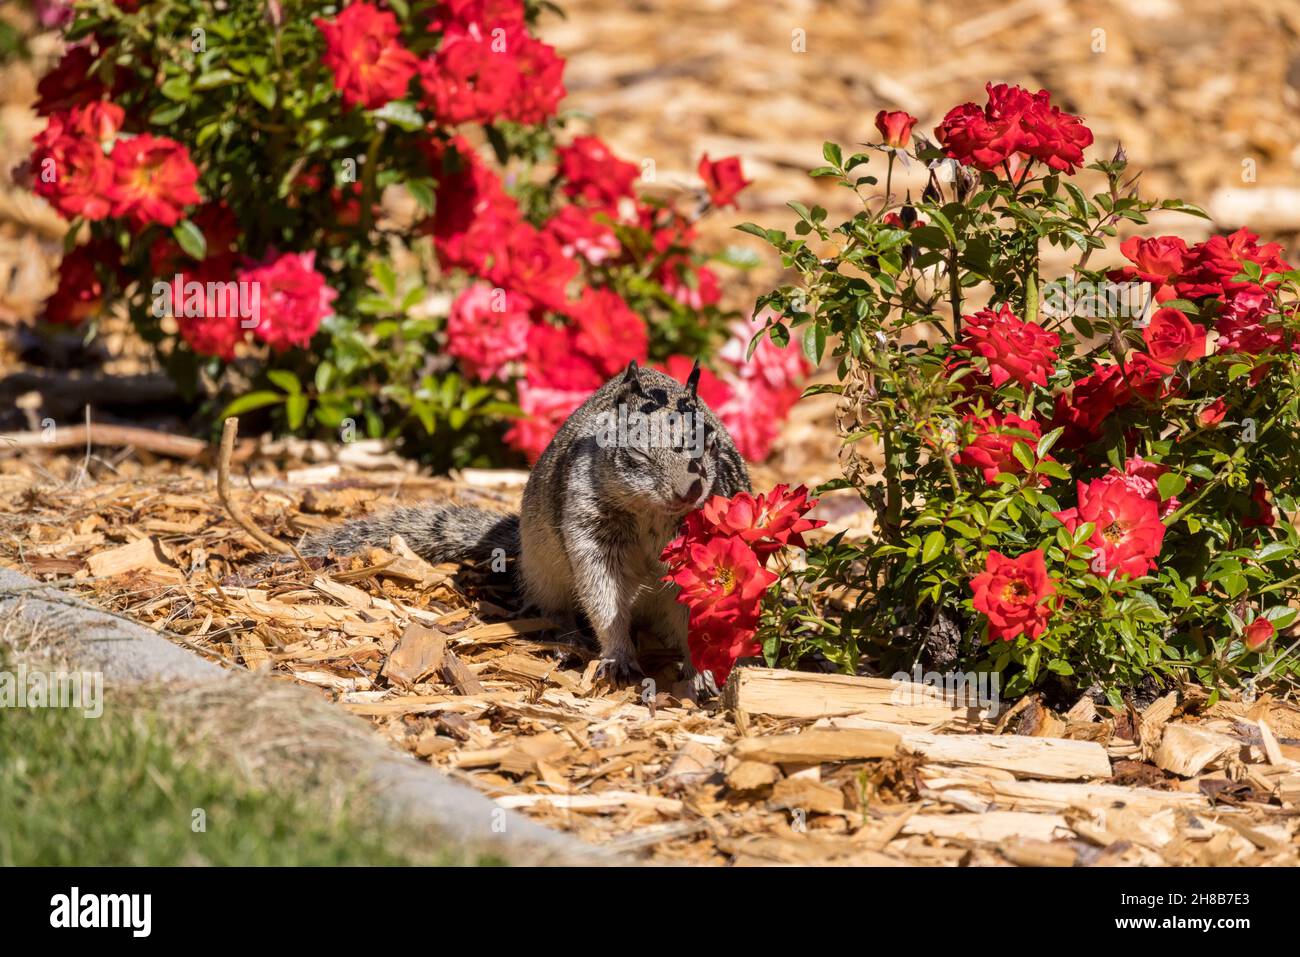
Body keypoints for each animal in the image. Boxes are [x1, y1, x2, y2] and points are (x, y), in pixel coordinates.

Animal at [291, 360, 751, 686]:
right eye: (636, 453)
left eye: (711, 442)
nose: (689, 490)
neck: (652, 515)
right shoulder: (590, 532)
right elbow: (603, 596)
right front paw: (618, 656)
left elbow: (698, 616)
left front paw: (704, 672)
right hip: (546, 575)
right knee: (555, 609)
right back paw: (567, 640)